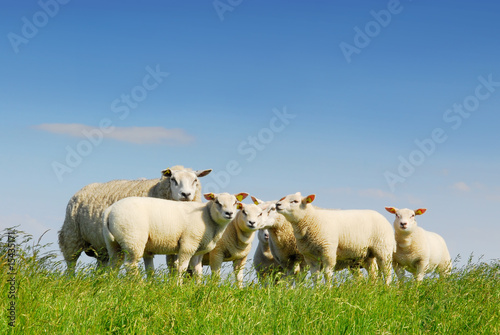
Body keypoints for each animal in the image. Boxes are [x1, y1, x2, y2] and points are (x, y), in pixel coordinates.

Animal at [57, 167, 212, 274]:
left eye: (195, 180)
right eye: (173, 179)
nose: (186, 194)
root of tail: (83, 189)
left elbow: (172, 266)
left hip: (102, 246)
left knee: (102, 265)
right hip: (72, 235)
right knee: (71, 263)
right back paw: (71, 280)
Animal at [103, 193, 248, 282]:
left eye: (235, 202)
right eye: (217, 202)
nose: (229, 213)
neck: (208, 217)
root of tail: (110, 210)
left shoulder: (198, 249)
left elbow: (197, 270)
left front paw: (198, 287)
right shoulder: (188, 244)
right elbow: (182, 268)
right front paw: (178, 287)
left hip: (114, 243)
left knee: (114, 264)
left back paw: (110, 285)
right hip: (133, 239)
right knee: (130, 265)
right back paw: (140, 285)